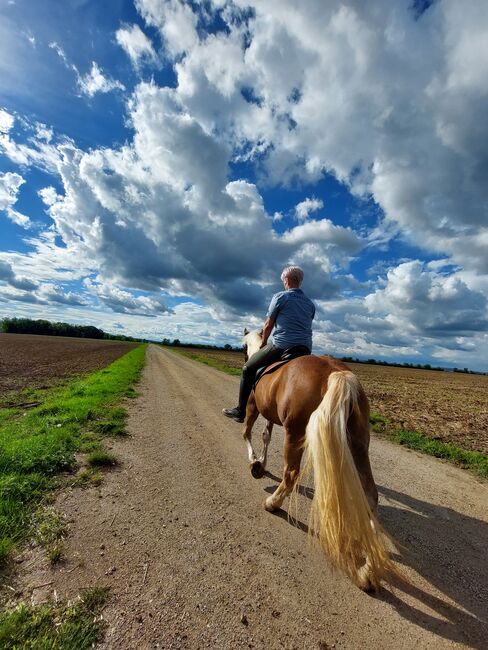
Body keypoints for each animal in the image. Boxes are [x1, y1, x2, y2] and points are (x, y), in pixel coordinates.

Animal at [240, 332, 400, 588]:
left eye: (243, 347)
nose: (244, 356)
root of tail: (337, 372)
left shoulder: (253, 405)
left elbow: (247, 432)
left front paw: (255, 464)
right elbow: (266, 435)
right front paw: (261, 463)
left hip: (294, 433)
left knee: (291, 474)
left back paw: (272, 503)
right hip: (358, 445)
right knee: (370, 496)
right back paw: (366, 572)